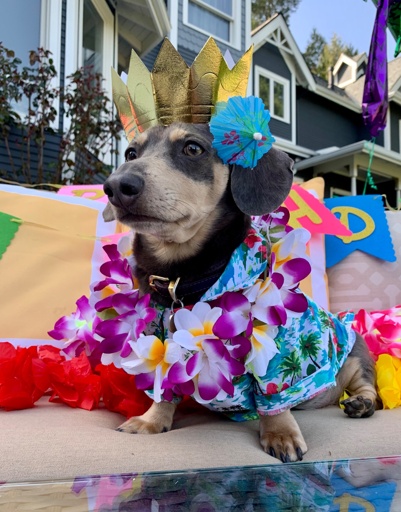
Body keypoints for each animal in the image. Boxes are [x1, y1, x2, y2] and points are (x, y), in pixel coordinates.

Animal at [102, 122, 377, 462]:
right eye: (130, 153)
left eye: (192, 148)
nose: (116, 186)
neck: (183, 278)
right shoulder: (161, 347)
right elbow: (163, 391)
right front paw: (151, 420)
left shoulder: (275, 353)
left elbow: (273, 400)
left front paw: (281, 434)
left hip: (354, 357)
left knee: (370, 390)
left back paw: (360, 403)